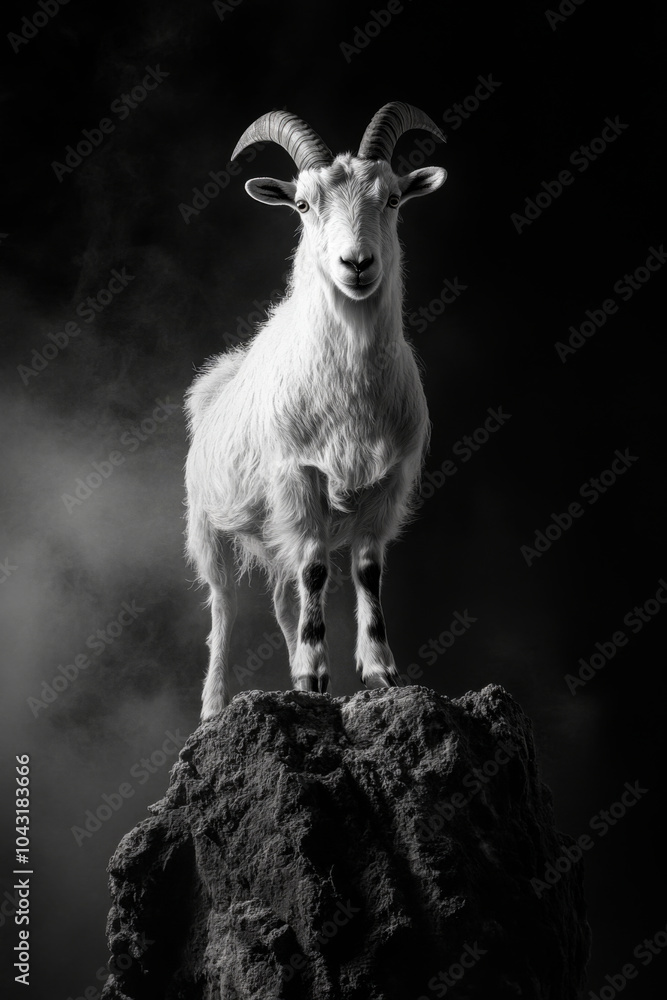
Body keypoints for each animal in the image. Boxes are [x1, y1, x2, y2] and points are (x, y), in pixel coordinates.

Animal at [185, 102, 447, 719]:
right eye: (303, 205)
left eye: (393, 198)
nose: (357, 264)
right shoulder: (295, 474)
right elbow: (315, 568)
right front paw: (314, 672)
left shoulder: (389, 481)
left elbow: (367, 571)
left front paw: (378, 672)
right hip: (207, 521)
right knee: (223, 604)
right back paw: (214, 707)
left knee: (284, 598)